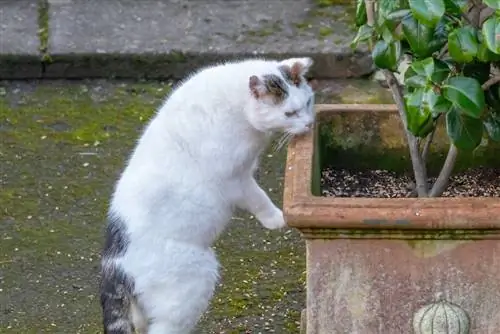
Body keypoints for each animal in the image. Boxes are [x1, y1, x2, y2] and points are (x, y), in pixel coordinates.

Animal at [99, 56, 314, 332]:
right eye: (289, 113)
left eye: (308, 102)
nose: (309, 124)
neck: (237, 105)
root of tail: (115, 263)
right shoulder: (237, 180)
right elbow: (258, 198)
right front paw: (277, 219)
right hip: (194, 283)